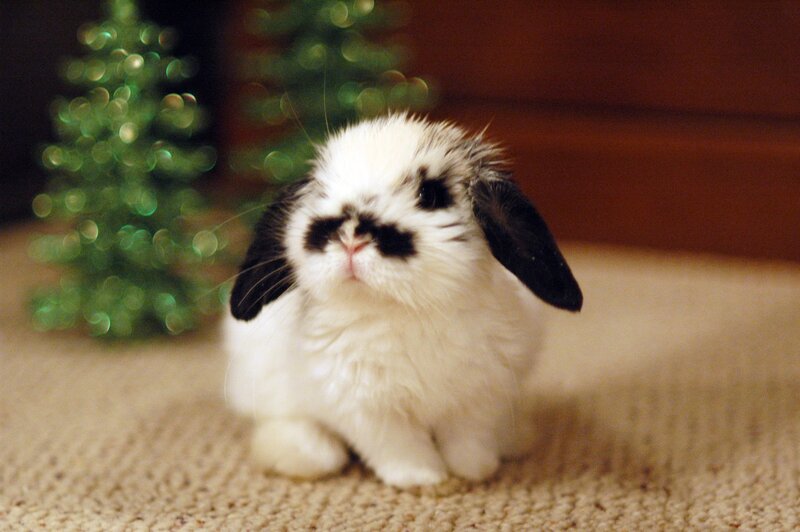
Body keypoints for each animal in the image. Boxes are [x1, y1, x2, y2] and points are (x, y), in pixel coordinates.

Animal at [222, 114, 582, 488]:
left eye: (431, 194)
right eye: (322, 191)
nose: (350, 237)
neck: (406, 308)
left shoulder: (481, 400)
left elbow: (468, 440)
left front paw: (474, 471)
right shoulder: (368, 411)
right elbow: (400, 447)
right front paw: (425, 480)